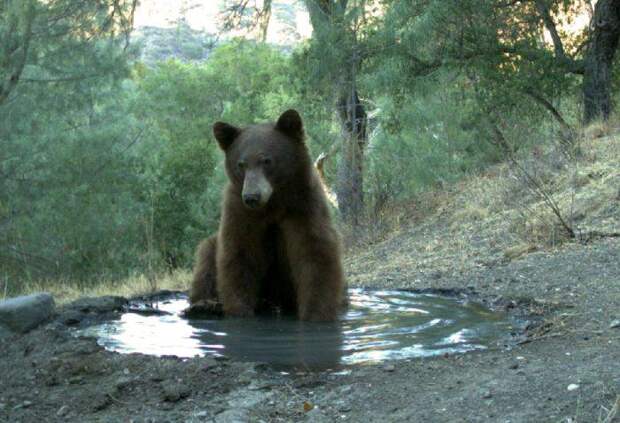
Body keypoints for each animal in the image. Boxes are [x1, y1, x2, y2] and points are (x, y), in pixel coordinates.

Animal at [189, 109, 344, 322]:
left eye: (267, 160)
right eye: (241, 164)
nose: (251, 197)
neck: (273, 205)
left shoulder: (304, 207)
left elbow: (314, 254)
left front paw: (315, 314)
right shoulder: (240, 213)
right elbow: (239, 256)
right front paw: (240, 311)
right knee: (206, 258)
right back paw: (205, 305)